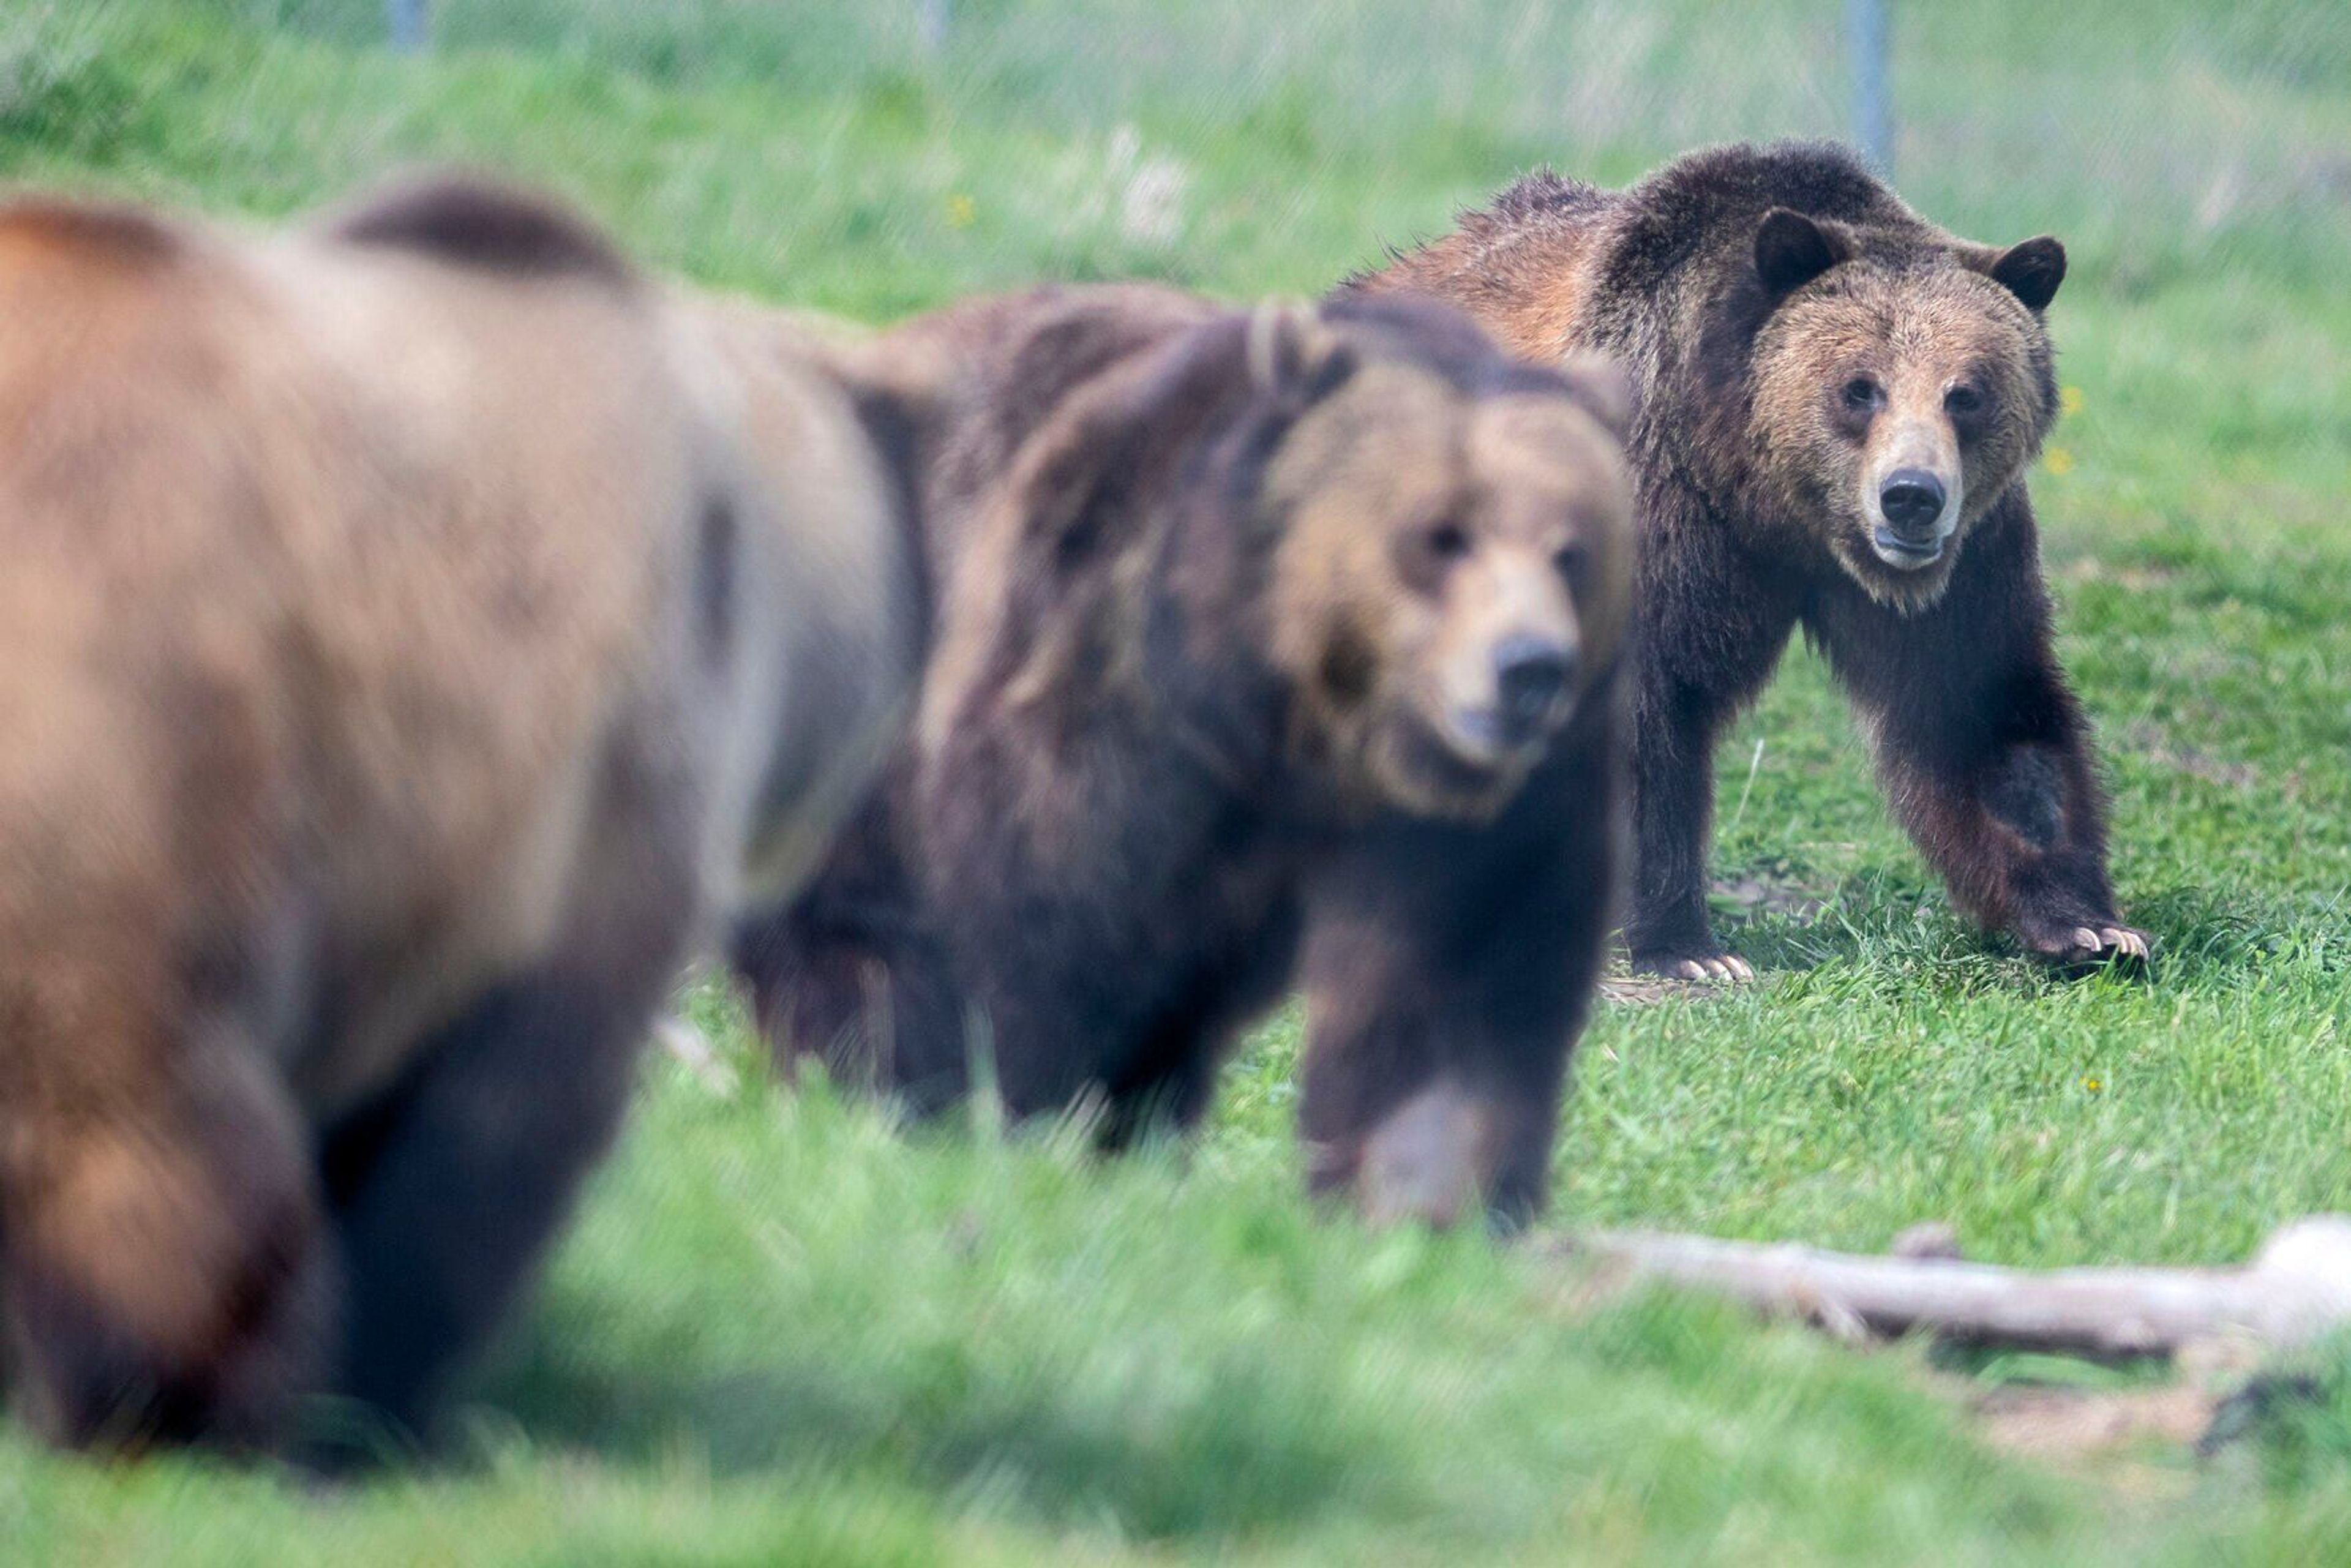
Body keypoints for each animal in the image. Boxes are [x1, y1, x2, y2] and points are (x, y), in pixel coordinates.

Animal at [733, 288, 1636, 1231]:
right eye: (1440, 534)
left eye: (1571, 551)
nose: (1530, 668)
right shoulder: (1100, 679)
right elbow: (1045, 918)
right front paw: (1010, 1114)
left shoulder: (1479, 814)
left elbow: (1458, 977)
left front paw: (1428, 1197)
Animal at [1344, 144, 2153, 982]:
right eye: (1860, 387)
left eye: (1966, 393)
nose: (1911, 498)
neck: (1768, 498)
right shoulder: (1658, 505)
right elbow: (1639, 710)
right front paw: (1684, 948)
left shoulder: (1970, 553)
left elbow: (1981, 707)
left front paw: (2088, 924)